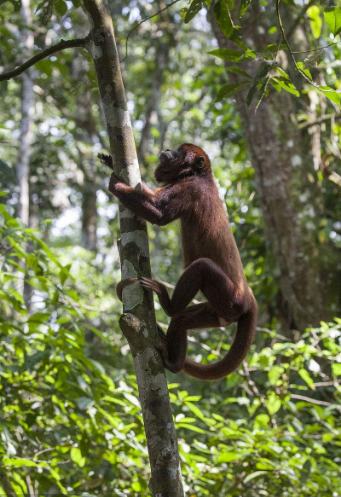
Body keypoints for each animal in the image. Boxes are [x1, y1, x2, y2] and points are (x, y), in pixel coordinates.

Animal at [99, 143, 256, 380]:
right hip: (218, 313)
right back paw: (174, 363)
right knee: (182, 319)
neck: (199, 174)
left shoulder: (190, 189)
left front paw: (115, 184)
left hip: (232, 301)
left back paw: (168, 305)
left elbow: (158, 213)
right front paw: (110, 162)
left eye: (181, 152)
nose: (167, 149)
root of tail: (249, 297)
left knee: (202, 267)